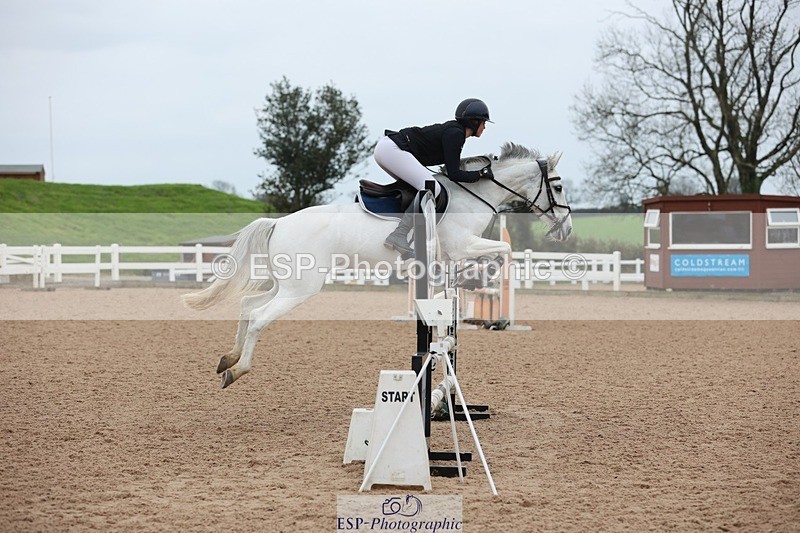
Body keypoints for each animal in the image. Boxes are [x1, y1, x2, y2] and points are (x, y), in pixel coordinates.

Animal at [183, 142, 573, 388]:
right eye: (558, 186)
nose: (566, 230)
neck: (473, 194)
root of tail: (278, 223)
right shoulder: (462, 246)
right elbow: (503, 251)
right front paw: (476, 278)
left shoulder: (454, 253)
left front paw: (468, 282)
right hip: (301, 287)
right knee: (260, 317)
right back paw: (238, 370)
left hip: (287, 284)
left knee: (249, 306)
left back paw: (228, 359)